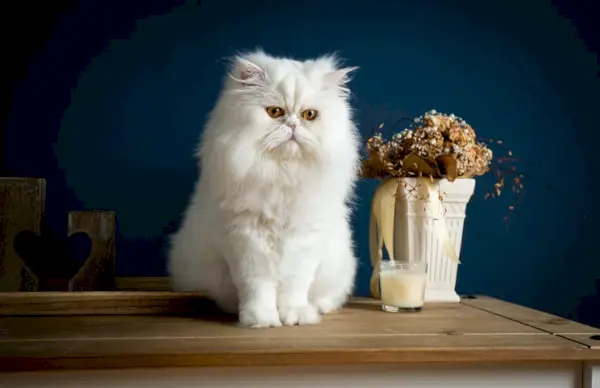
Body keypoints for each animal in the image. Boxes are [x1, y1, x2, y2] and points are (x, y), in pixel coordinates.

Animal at [166, 48, 358, 328]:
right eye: (275, 112)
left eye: (309, 115)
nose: (292, 125)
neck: (283, 175)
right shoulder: (246, 238)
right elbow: (258, 286)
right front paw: (261, 319)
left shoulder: (305, 238)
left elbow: (294, 284)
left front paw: (296, 316)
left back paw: (317, 308)